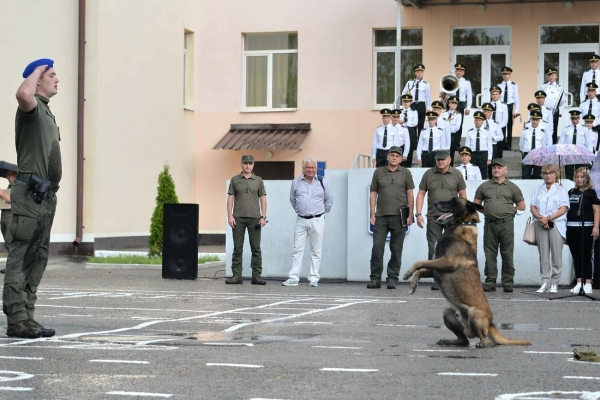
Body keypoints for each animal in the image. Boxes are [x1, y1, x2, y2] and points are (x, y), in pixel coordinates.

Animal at [400, 198, 532, 348]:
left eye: (453, 201)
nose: (434, 203)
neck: (460, 224)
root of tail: (491, 323)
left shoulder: (447, 261)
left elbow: (420, 262)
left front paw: (408, 275)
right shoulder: (436, 268)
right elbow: (421, 269)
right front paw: (413, 284)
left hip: (475, 313)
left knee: (483, 337)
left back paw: (482, 343)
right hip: (448, 312)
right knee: (464, 340)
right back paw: (449, 341)